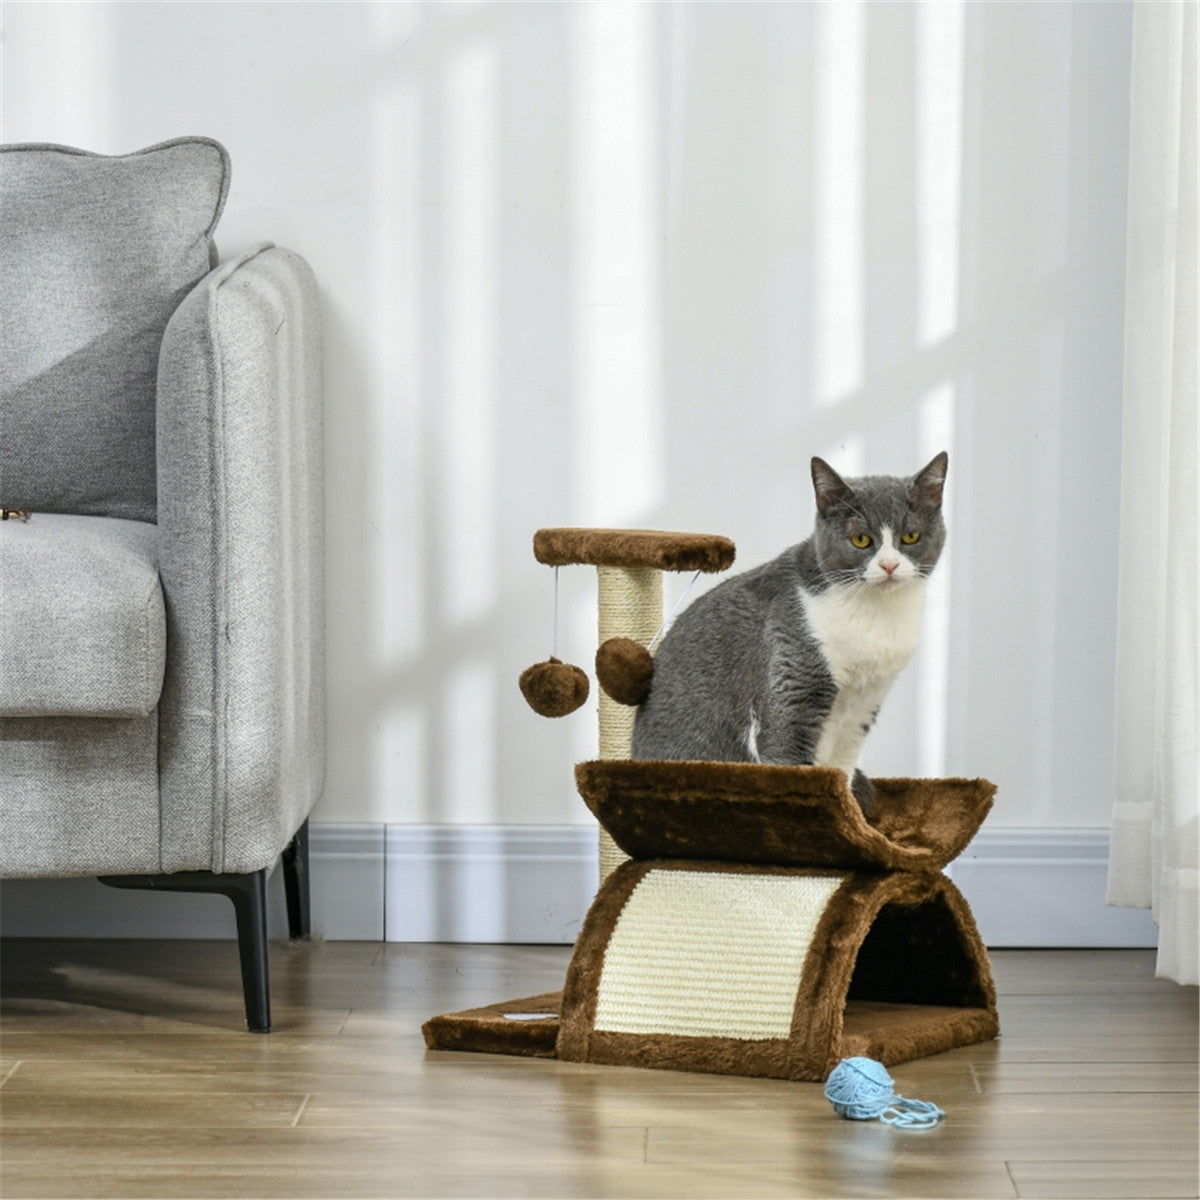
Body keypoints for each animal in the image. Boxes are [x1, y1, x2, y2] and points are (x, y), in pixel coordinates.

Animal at [633, 451, 950, 816]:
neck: (876, 615)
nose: (888, 565)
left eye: (910, 537)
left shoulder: (864, 705)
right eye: (861, 540)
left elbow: (842, 770)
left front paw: (852, 819)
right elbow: (792, 764)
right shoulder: (794, 671)